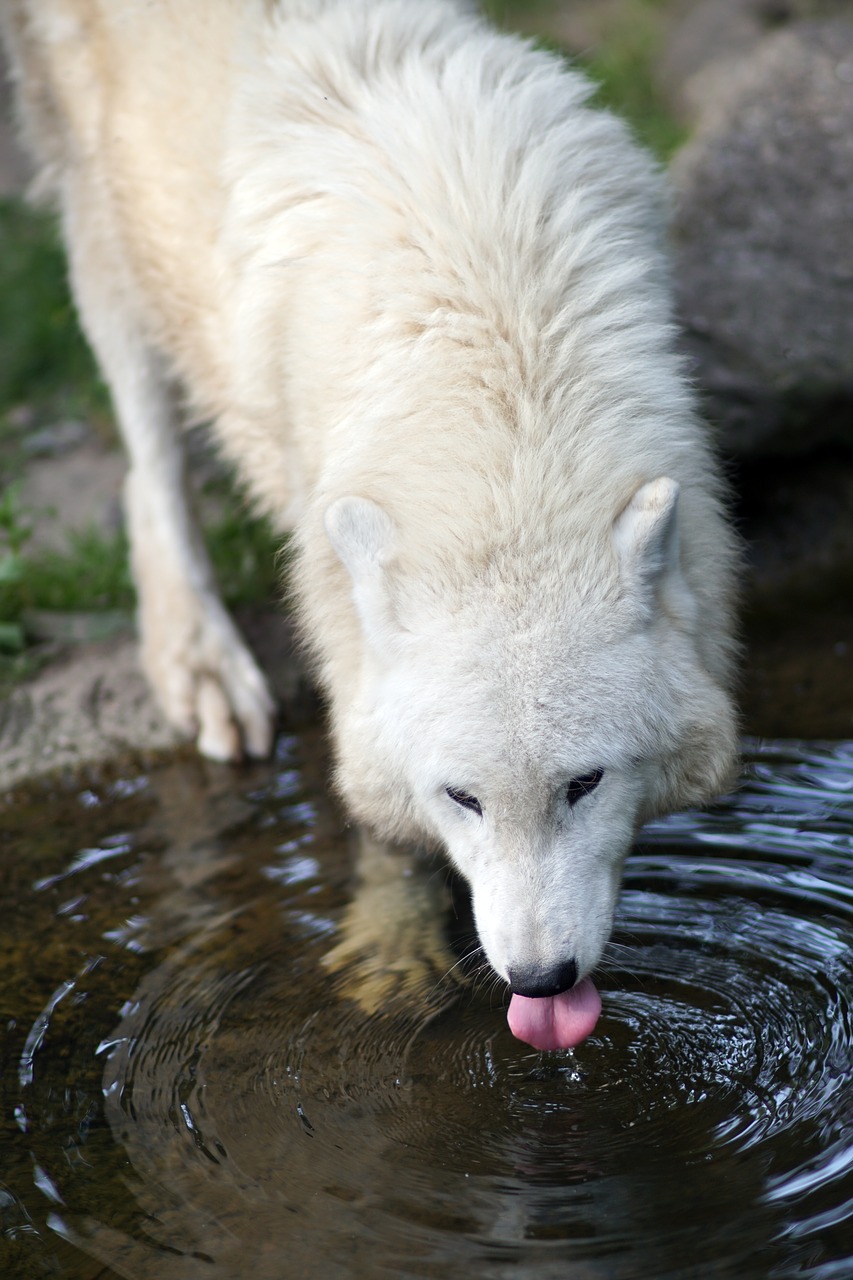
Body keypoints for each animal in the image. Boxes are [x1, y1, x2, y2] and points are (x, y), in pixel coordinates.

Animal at [1, 0, 737, 1049]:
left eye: (584, 784)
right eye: (461, 798)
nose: (542, 981)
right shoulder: (335, 606)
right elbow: (375, 815)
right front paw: (393, 953)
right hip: (112, 240)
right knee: (148, 466)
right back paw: (199, 660)